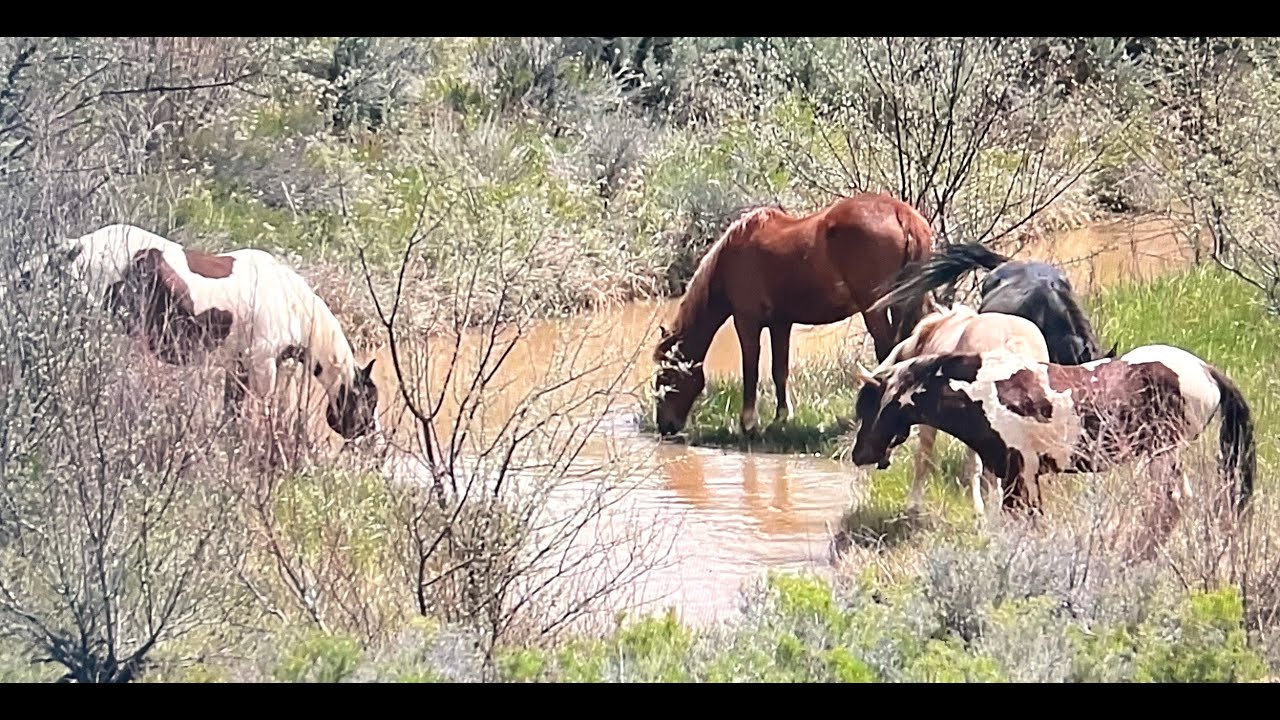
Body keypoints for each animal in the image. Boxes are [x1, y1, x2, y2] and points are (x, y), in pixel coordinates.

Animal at [36, 223, 380, 444]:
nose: (371, 437)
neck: (292, 303)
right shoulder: (262, 366)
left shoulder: (238, 367)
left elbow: (231, 412)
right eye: (368, 400)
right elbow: (262, 412)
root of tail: (78, 246)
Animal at [653, 192, 936, 438]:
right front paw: (781, 418)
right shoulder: (781, 324)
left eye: (665, 378)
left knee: (887, 351)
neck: (731, 257)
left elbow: (751, 370)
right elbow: (780, 370)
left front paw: (748, 425)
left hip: (875, 309)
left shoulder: (746, 321)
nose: (665, 427)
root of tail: (902, 215)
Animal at [847, 345, 1255, 543]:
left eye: (869, 405)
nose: (859, 454)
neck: (983, 391)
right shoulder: (1021, 477)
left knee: (1169, 504)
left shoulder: (1019, 475)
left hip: (1162, 455)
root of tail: (1206, 371)